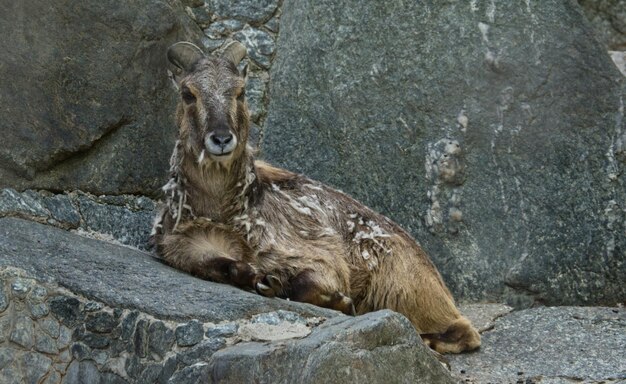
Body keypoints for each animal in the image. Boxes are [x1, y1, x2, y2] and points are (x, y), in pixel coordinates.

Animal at [151, 42, 478, 354]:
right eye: (188, 94)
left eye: (240, 92)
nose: (221, 138)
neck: (225, 212)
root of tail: (434, 275)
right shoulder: (187, 246)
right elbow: (225, 266)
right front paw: (263, 280)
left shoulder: (319, 255)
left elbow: (305, 284)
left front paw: (339, 301)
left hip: (402, 282)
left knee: (465, 331)